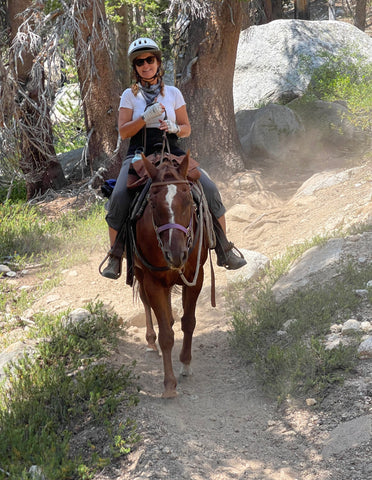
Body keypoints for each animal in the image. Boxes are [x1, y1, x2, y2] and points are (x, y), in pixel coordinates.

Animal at [133, 151, 209, 398]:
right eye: (153, 204)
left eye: (188, 201)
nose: (176, 253)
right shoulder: (153, 281)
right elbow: (165, 335)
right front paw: (169, 384)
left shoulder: (196, 276)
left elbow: (189, 322)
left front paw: (186, 363)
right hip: (138, 272)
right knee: (146, 303)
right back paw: (150, 341)